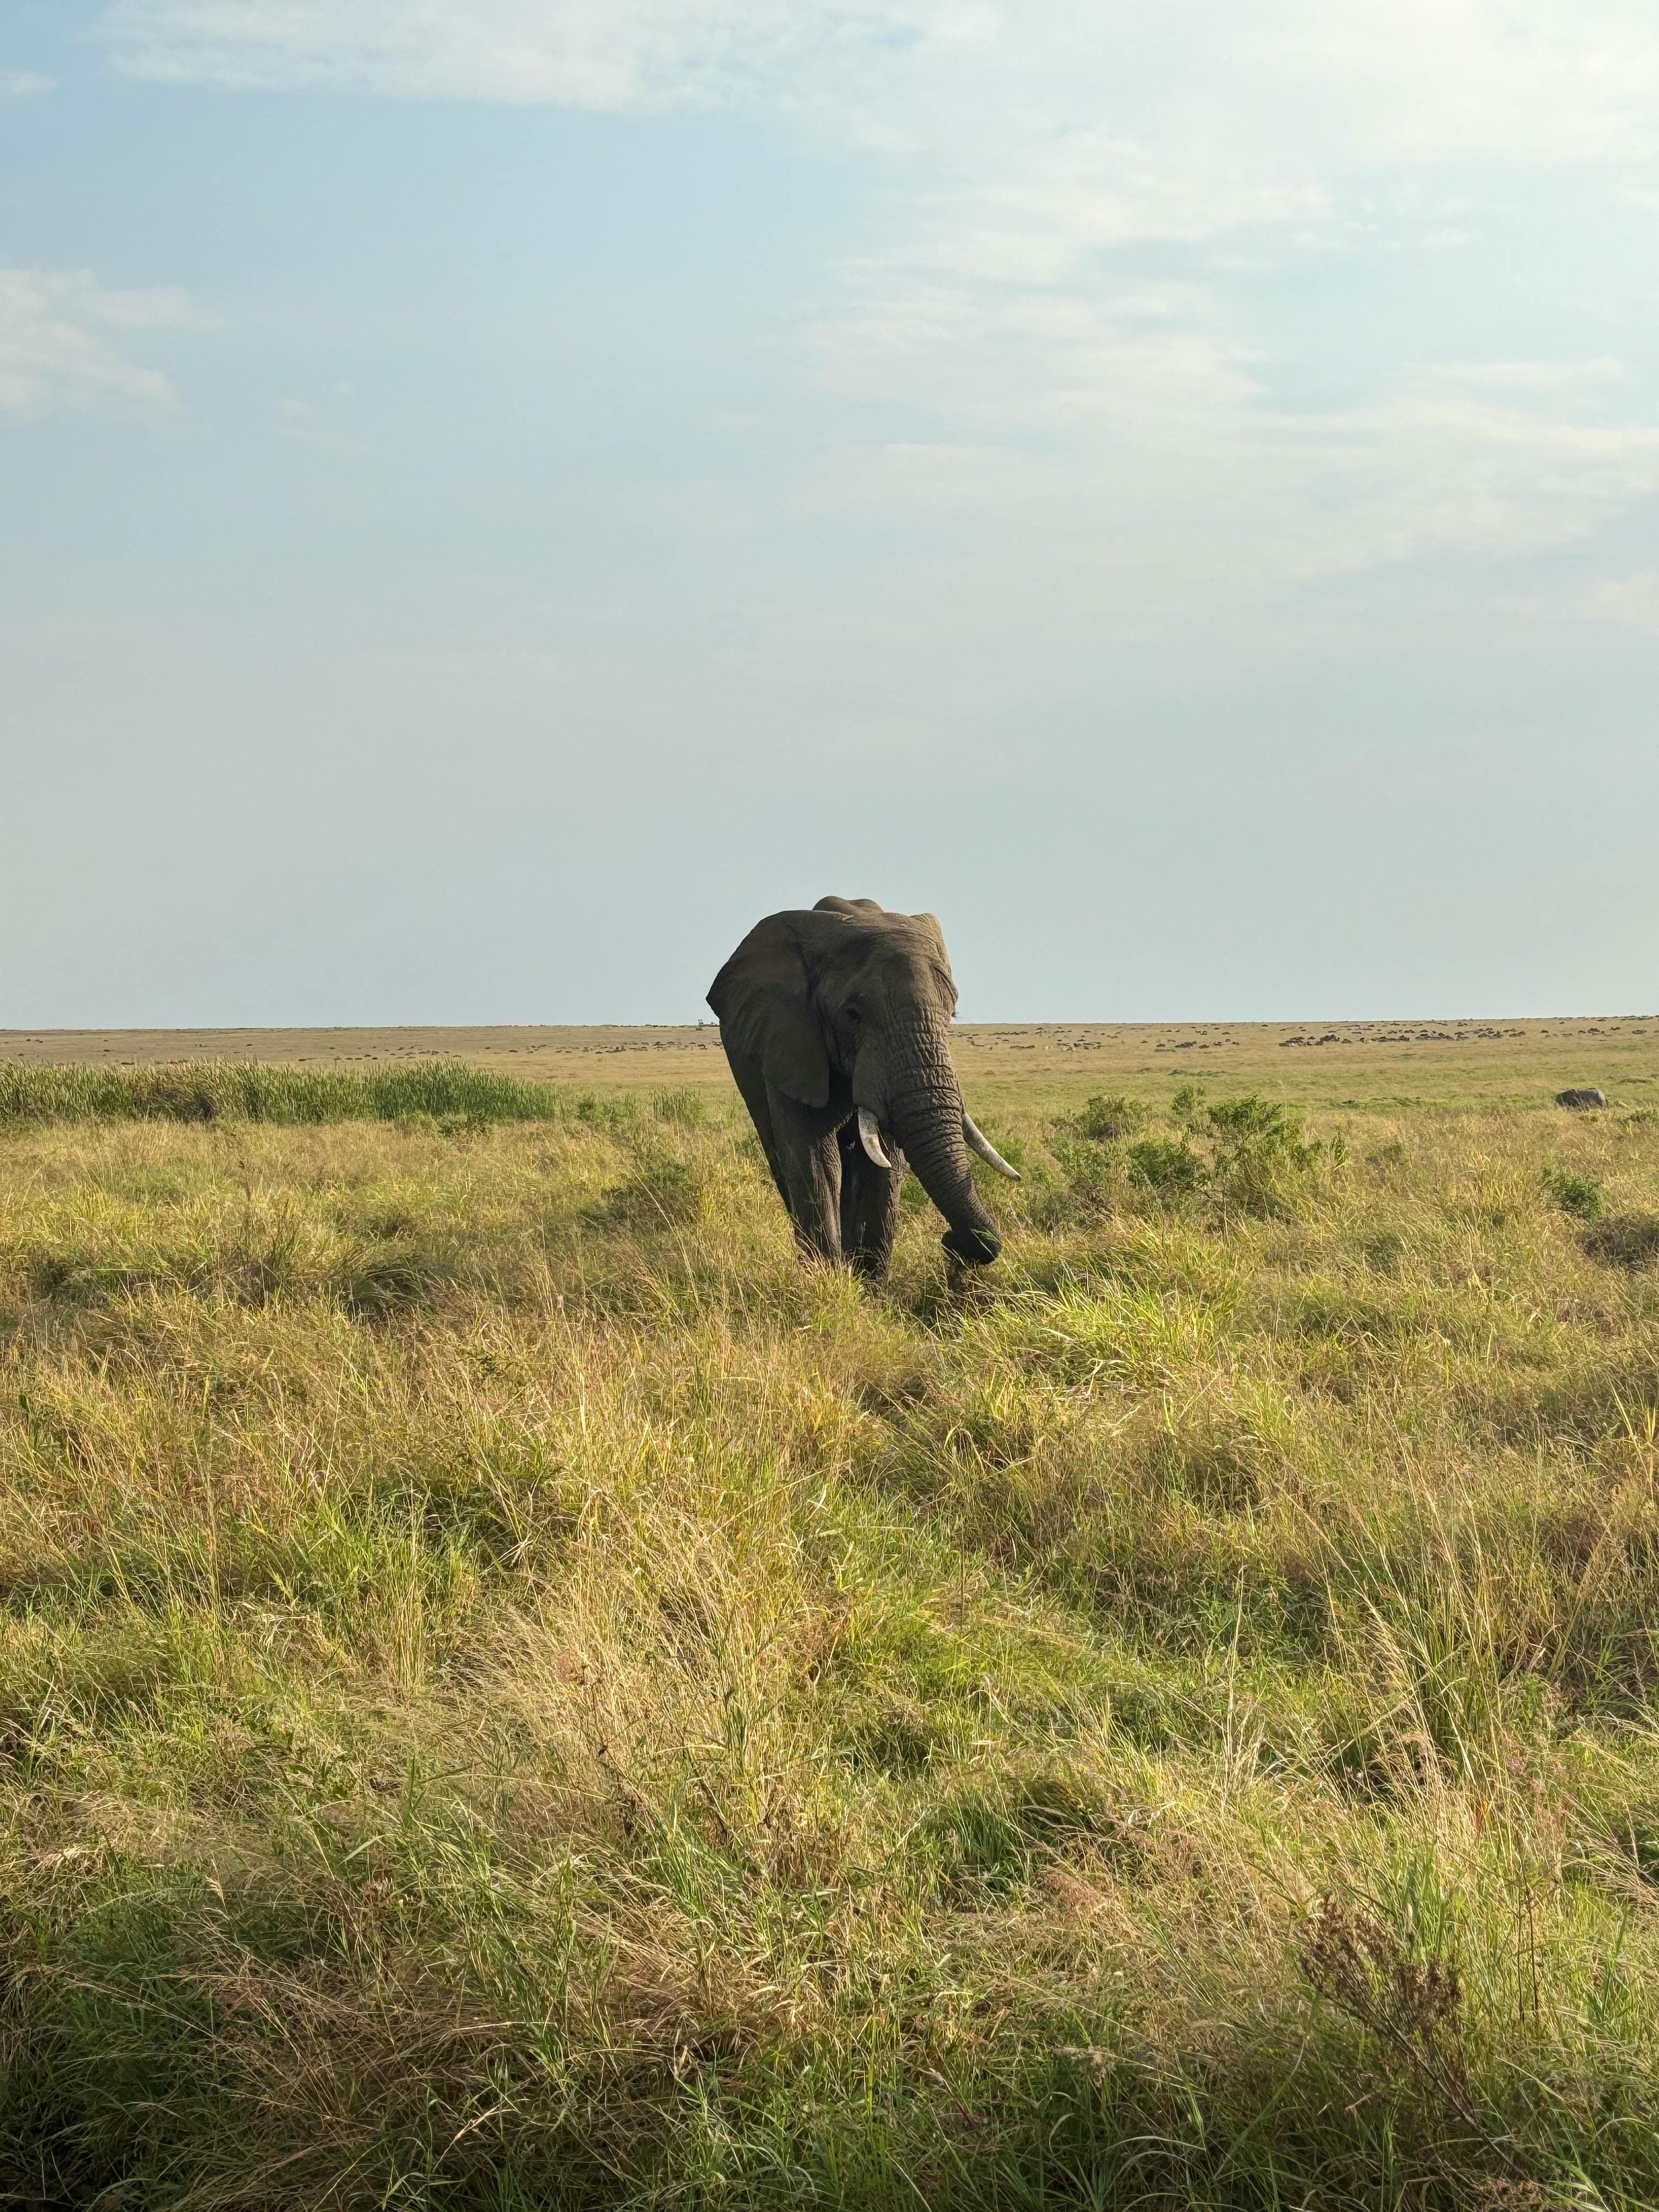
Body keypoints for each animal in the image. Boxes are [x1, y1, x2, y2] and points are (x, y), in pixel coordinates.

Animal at [707, 896, 1019, 1277]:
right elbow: (816, 1162)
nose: (952, 1242)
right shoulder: (791, 1040)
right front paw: (827, 1281)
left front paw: (867, 1284)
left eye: (953, 1013)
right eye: (853, 1015)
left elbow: (881, 1169)